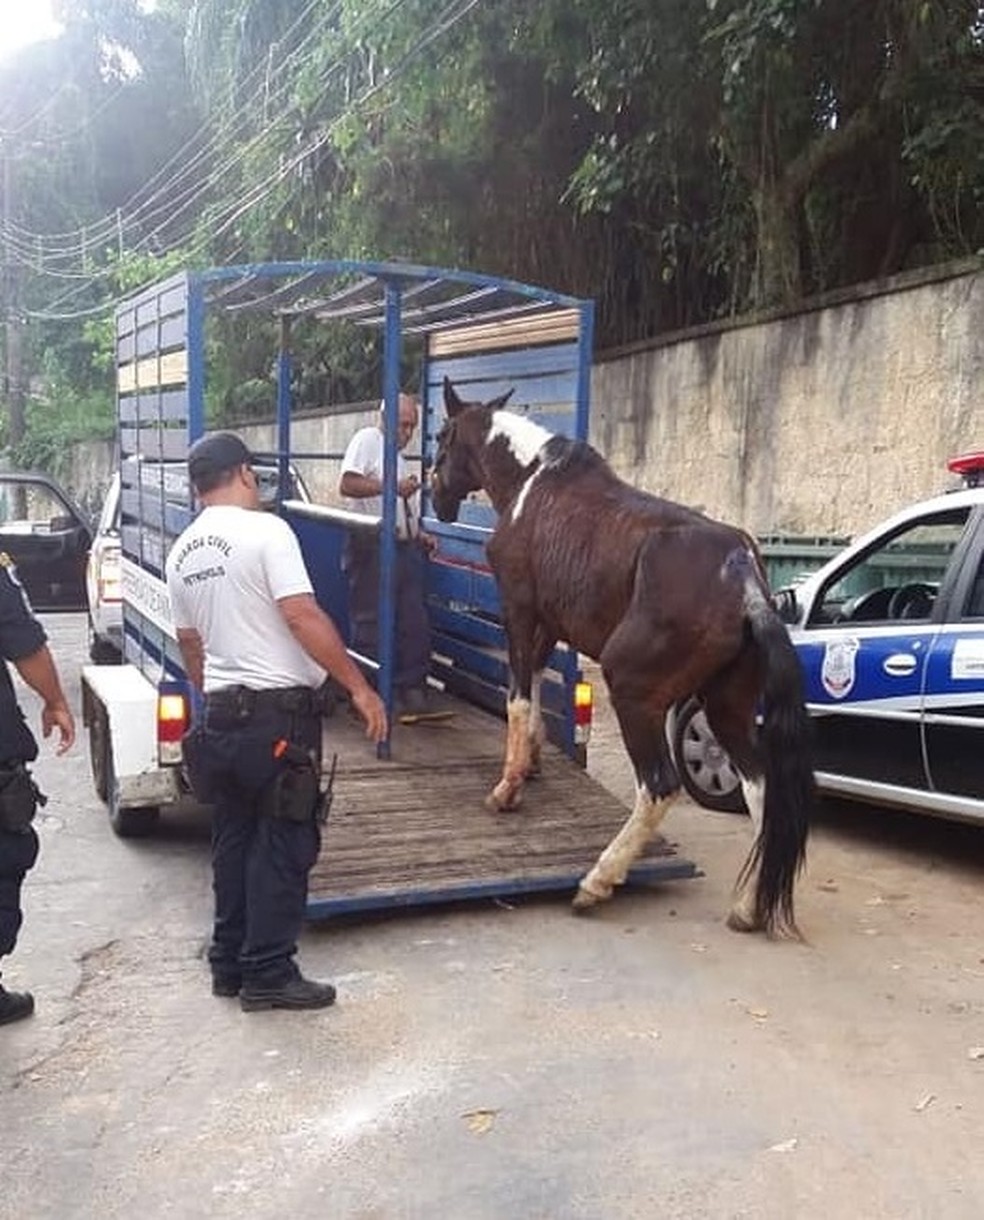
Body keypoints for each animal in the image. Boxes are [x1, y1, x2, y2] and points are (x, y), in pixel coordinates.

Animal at [431, 375, 814, 936]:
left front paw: (507, 788)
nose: (435, 495)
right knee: (761, 788)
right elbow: (535, 691)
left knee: (659, 786)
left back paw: (597, 882)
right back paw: (747, 907)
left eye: (441, 436)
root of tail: (742, 572)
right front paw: (531, 766)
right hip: (726, 705)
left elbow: (518, 697)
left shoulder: (519, 610)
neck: (531, 480)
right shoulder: (549, 625)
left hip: (634, 690)